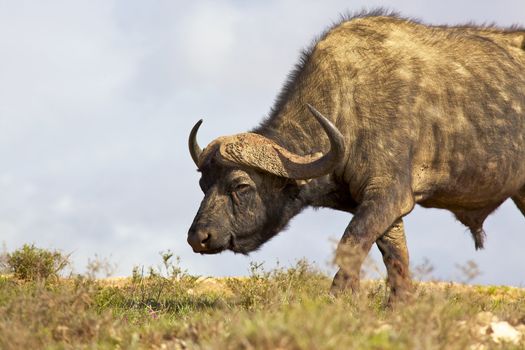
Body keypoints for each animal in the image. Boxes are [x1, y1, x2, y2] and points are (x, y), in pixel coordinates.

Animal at [186, 10, 520, 300]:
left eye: (241, 186)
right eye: (203, 185)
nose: (198, 237)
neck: (348, 107)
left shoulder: (389, 194)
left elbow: (351, 243)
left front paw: (339, 298)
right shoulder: (383, 206)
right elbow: (396, 256)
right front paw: (399, 304)